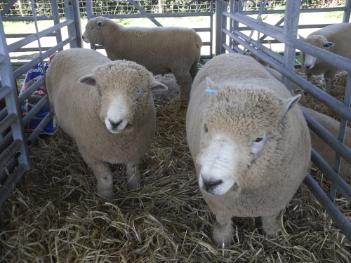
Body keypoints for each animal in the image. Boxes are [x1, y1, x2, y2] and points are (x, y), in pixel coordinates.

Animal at [45, 48, 168, 200]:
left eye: (140, 93)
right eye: (99, 90)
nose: (114, 122)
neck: (117, 142)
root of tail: (70, 49)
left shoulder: (136, 150)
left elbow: (132, 170)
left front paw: (135, 188)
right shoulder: (91, 155)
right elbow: (105, 178)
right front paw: (106, 197)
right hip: (50, 101)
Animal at [187, 53, 310, 248]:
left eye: (259, 138)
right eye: (206, 128)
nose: (209, 182)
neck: (249, 197)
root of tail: (230, 54)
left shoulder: (276, 202)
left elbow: (270, 221)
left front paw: (274, 234)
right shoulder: (220, 204)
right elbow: (223, 222)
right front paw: (222, 240)